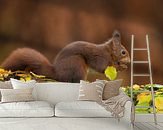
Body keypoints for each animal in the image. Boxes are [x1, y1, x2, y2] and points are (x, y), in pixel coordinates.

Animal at [0, 30, 130, 82]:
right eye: (123, 52)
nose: (129, 61)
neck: (109, 52)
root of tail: (57, 74)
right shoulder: (100, 57)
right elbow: (103, 68)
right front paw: (121, 67)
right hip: (77, 64)